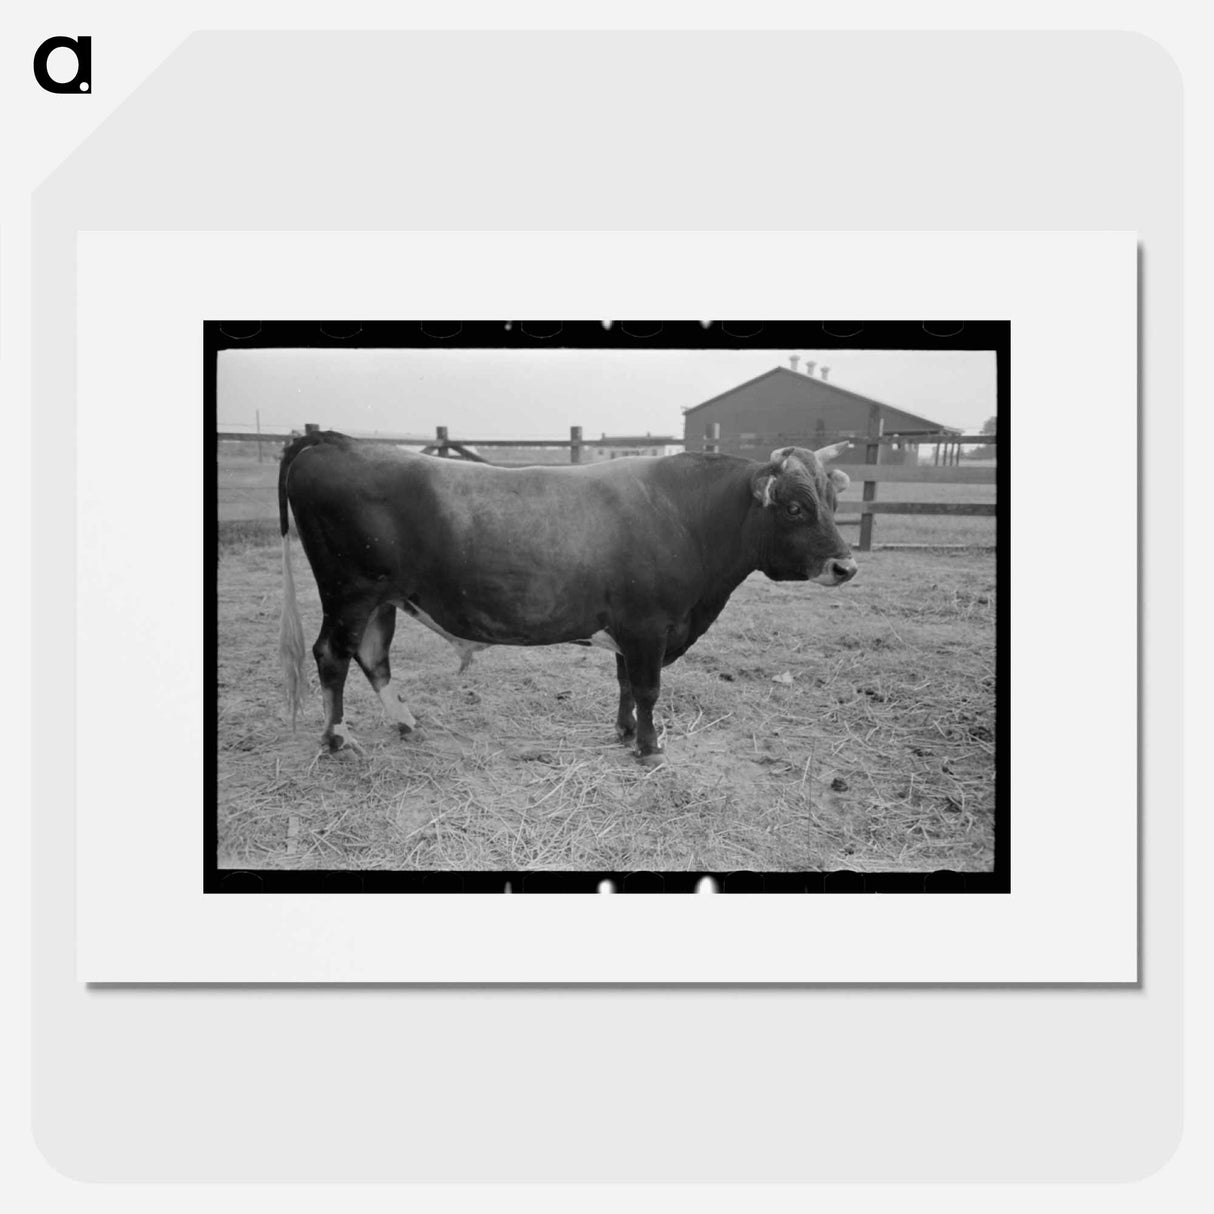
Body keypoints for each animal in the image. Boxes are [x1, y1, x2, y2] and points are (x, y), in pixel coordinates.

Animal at [278, 431, 857, 765]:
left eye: (831, 500)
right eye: (795, 509)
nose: (846, 566)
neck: (687, 515)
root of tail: (333, 441)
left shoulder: (630, 630)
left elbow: (625, 684)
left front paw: (626, 732)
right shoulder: (648, 627)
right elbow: (648, 688)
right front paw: (650, 748)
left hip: (382, 599)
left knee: (373, 657)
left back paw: (405, 722)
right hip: (348, 593)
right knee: (332, 656)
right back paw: (336, 738)